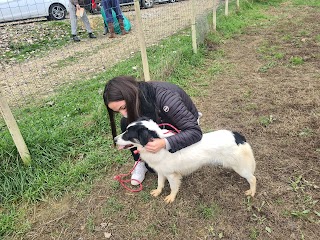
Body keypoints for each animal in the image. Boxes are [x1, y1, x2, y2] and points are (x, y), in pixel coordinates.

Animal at [114, 117, 256, 202]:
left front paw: (171, 197)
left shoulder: (172, 175)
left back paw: (252, 192)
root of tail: (237, 136)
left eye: (128, 134)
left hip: (240, 167)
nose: (114, 139)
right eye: (125, 131)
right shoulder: (161, 172)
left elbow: (173, 187)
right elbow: (160, 183)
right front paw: (158, 192)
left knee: (253, 178)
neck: (159, 146)